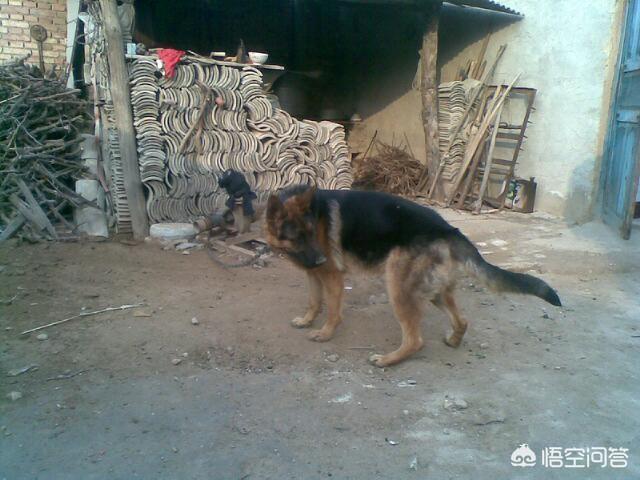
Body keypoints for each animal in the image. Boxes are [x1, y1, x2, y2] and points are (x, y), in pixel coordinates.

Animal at [264, 186, 560, 366]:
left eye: (312, 233)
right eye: (297, 237)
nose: (321, 259)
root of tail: (449, 229)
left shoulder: (332, 277)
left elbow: (333, 311)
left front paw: (325, 334)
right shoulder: (314, 275)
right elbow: (314, 301)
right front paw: (306, 320)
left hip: (398, 288)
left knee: (415, 339)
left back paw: (387, 360)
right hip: (434, 291)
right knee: (461, 320)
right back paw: (453, 340)